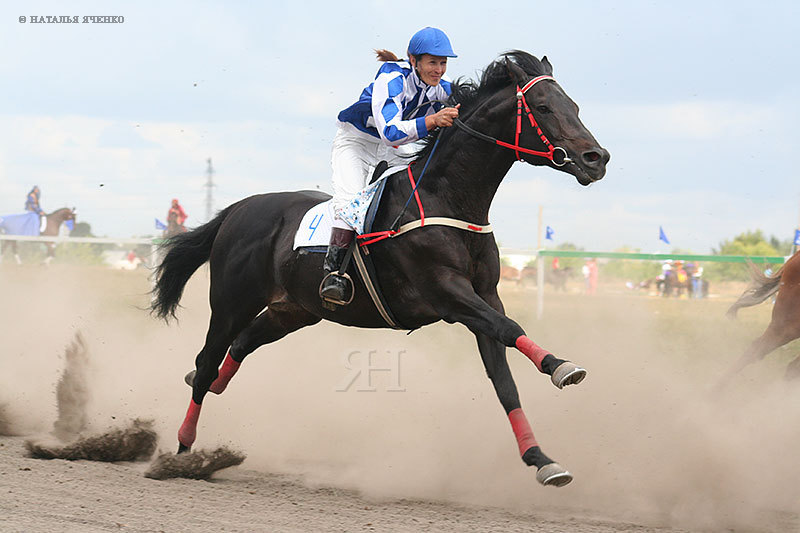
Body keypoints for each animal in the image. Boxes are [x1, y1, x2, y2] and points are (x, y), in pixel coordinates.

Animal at [153, 51, 608, 486]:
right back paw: (182, 452)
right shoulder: (447, 292)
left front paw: (542, 460)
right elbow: (510, 328)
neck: (448, 198)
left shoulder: (484, 295)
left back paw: (209, 390)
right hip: (232, 301)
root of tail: (237, 209)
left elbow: (504, 379)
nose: (596, 157)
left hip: (293, 310)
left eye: (574, 105)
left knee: (241, 345)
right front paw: (561, 367)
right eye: (544, 107)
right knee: (208, 359)